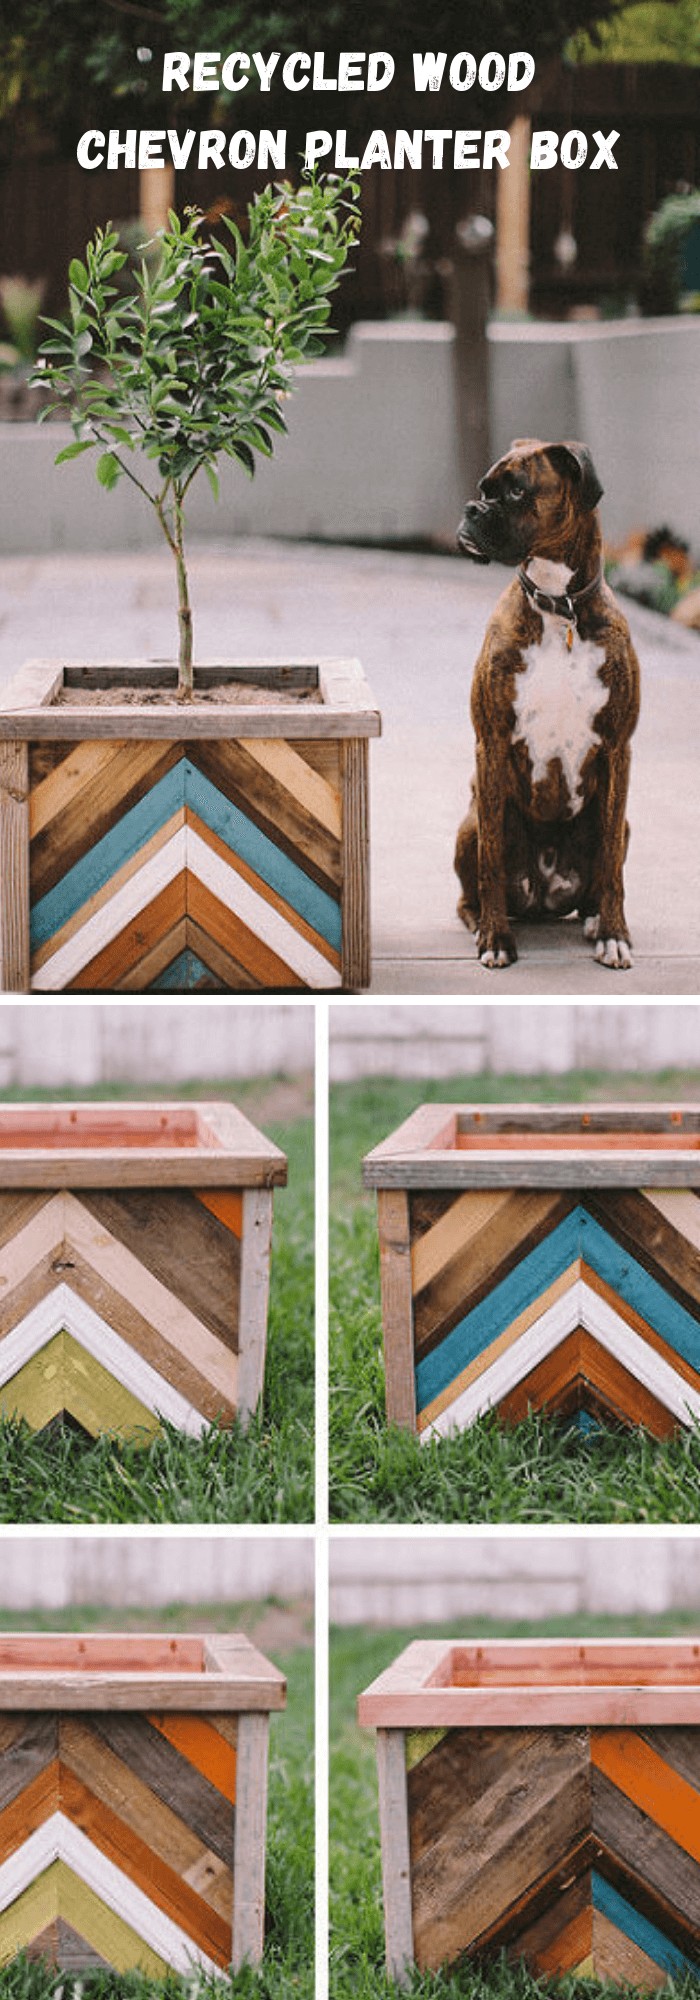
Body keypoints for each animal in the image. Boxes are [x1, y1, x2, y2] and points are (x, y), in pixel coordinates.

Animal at [454, 436, 640, 968]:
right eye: (484, 489)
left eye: (517, 491)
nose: (471, 509)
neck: (560, 609)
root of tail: (542, 897)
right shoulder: (491, 743)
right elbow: (490, 862)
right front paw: (496, 939)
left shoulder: (618, 749)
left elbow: (613, 871)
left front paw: (615, 935)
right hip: (469, 823)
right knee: (472, 888)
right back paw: (481, 924)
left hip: (622, 826)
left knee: (601, 876)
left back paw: (596, 920)